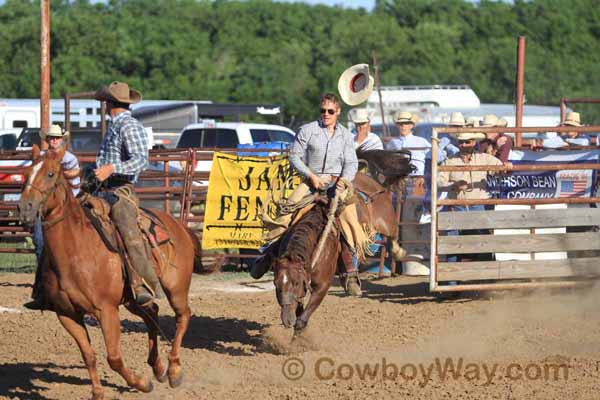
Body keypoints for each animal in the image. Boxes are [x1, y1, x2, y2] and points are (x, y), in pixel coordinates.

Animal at [17, 146, 197, 400]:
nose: (25, 208)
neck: (77, 250)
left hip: (176, 289)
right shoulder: (66, 314)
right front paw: (98, 393)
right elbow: (88, 355)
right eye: (26, 173)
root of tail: (179, 226)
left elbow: (113, 357)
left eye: (51, 174)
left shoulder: (107, 310)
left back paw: (173, 371)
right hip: (133, 298)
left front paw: (142, 383)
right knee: (152, 311)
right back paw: (158, 367)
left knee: (183, 316)